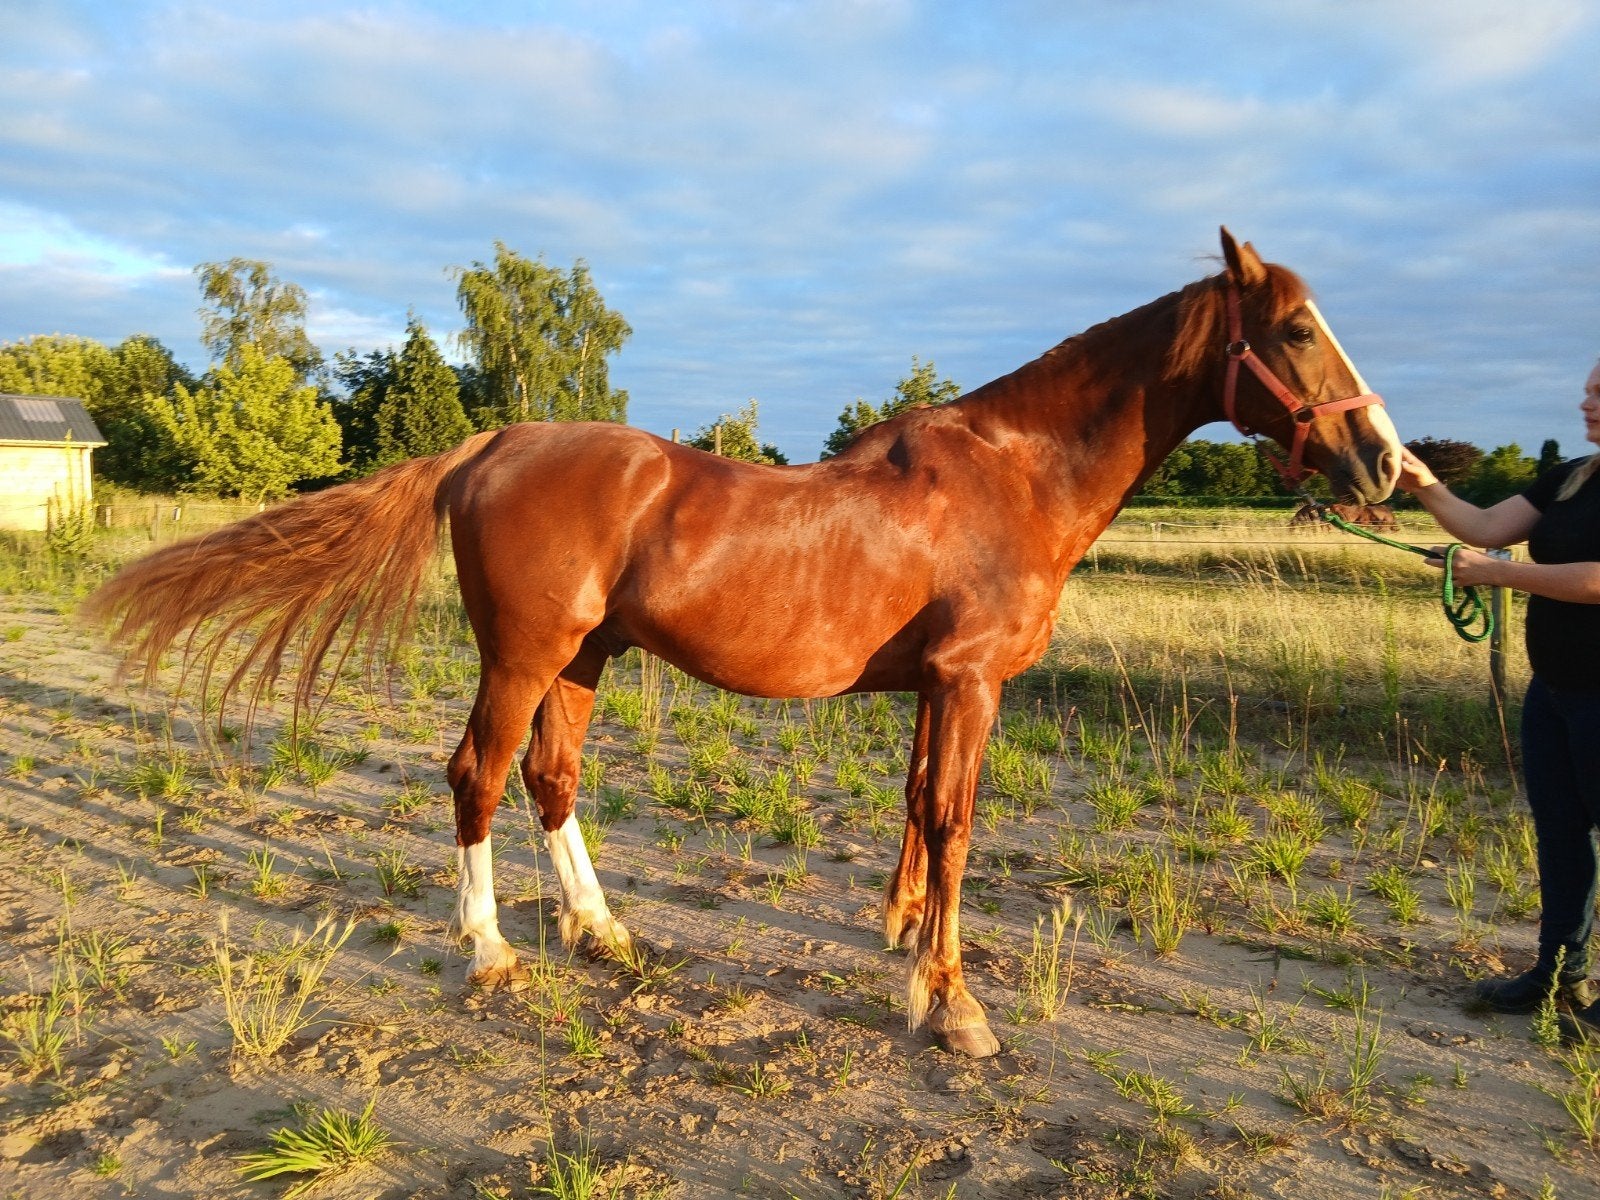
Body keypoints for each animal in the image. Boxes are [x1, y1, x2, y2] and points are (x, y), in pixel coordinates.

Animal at [85, 228, 1402, 1058]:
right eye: (1293, 330)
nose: (1384, 460)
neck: (1013, 476)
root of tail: (495, 440)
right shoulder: (970, 684)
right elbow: (956, 827)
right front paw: (954, 1007)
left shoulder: (935, 689)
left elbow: (919, 813)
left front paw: (903, 951)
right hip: (521, 658)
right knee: (476, 776)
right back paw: (488, 952)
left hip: (582, 661)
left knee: (551, 778)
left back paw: (601, 931)